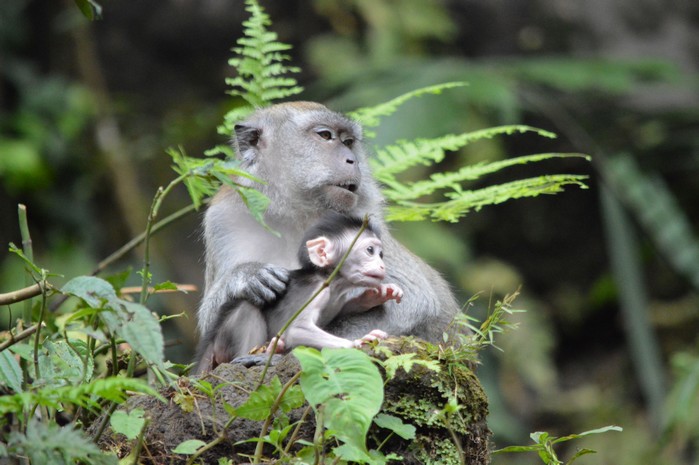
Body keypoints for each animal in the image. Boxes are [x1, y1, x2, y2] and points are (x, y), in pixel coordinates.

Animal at [197, 102, 460, 352]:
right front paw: (246, 276)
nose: (352, 160)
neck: (292, 213)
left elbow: (413, 303)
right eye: (325, 135)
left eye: (348, 142)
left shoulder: (366, 219)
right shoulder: (223, 220)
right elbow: (210, 328)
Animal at [197, 212, 404, 372]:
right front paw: (358, 342)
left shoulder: (336, 297)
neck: (333, 283)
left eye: (381, 254)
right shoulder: (318, 292)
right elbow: (298, 330)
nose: (382, 265)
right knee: (247, 308)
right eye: (370, 250)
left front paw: (379, 294)